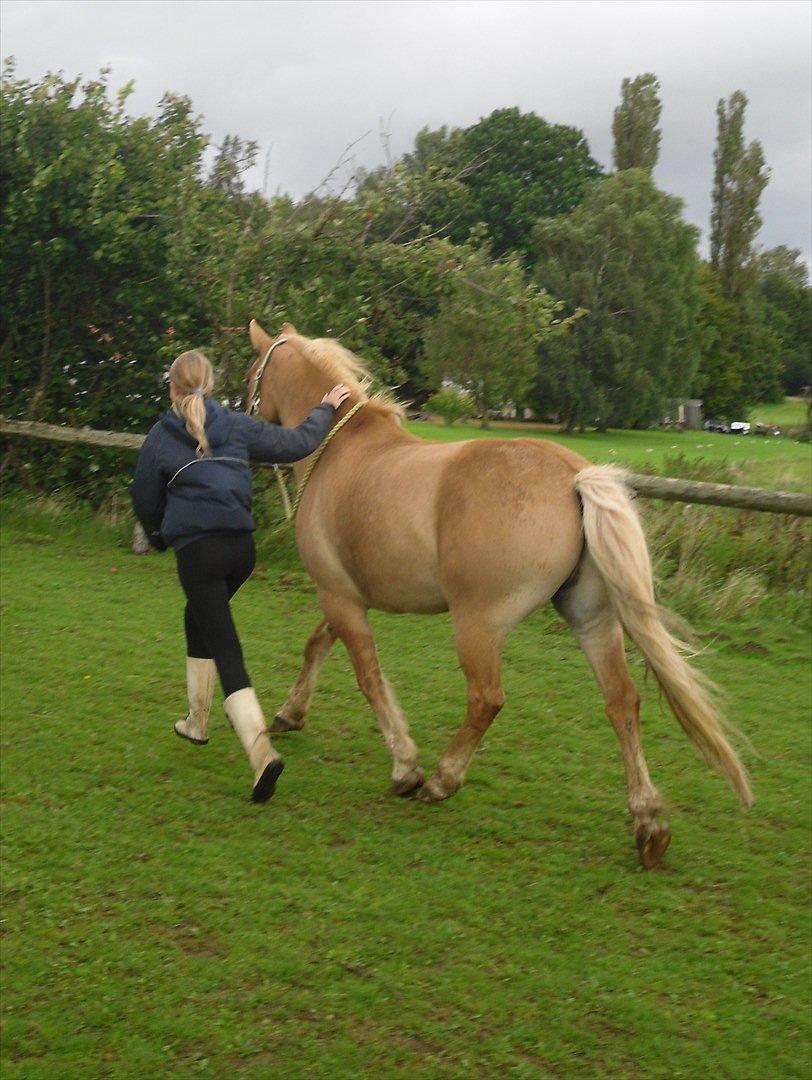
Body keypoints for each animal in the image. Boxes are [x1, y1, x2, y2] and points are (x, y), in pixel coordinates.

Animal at [244, 315, 751, 864]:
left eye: (252, 373)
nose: (238, 414)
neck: (339, 449)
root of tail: (576, 477)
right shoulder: (344, 595)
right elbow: (317, 645)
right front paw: (291, 713)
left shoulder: (338, 594)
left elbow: (369, 677)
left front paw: (405, 767)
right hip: (591, 620)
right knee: (622, 701)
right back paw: (648, 821)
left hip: (478, 625)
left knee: (486, 699)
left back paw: (442, 780)